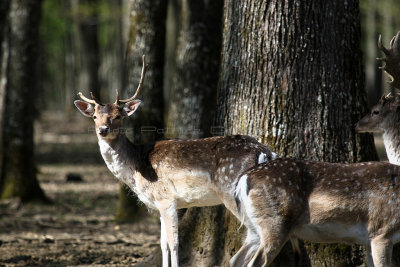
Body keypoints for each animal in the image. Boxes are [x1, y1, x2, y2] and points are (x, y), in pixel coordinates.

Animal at [73, 55, 276, 267]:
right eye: (95, 116)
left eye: (118, 116)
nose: (103, 129)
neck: (136, 168)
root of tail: (264, 152)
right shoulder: (162, 203)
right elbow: (163, 244)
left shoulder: (166, 198)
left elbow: (174, 244)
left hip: (231, 191)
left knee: (258, 235)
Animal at [231, 159, 400, 267]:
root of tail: (243, 178)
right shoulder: (382, 232)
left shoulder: (368, 238)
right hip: (274, 223)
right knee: (254, 262)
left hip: (254, 228)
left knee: (235, 260)